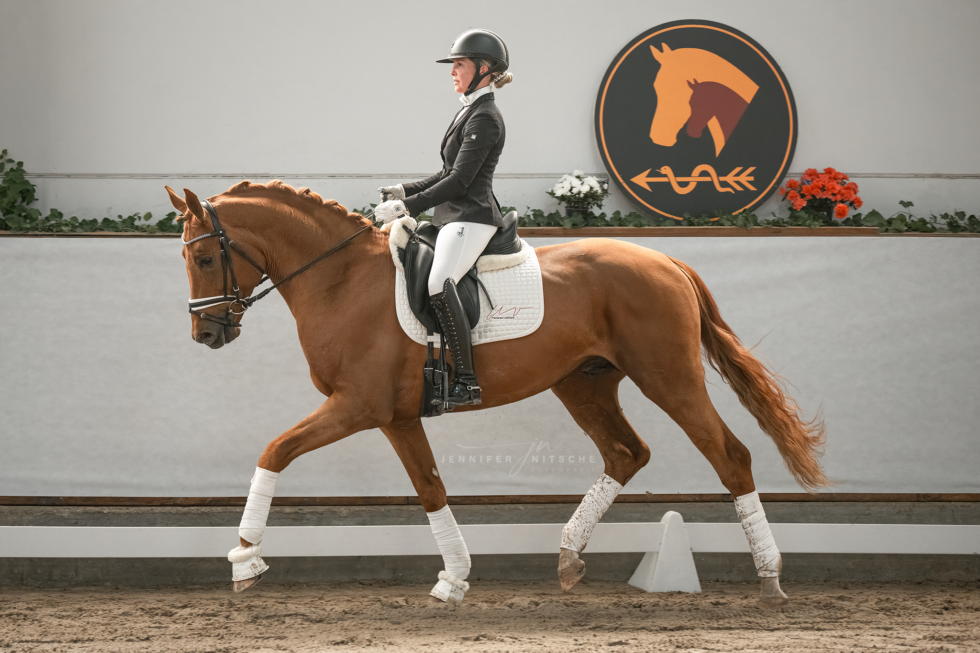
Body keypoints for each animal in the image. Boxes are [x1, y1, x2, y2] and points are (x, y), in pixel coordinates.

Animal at [167, 179, 827, 609]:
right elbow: (431, 488)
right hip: (583, 384)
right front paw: (454, 579)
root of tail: (666, 259)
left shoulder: (358, 407)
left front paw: (246, 560)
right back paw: (568, 557)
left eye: (205, 258)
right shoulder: (397, 417)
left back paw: (770, 578)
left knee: (730, 456)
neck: (340, 279)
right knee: (626, 453)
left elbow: (275, 450)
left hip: (669, 377)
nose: (206, 334)